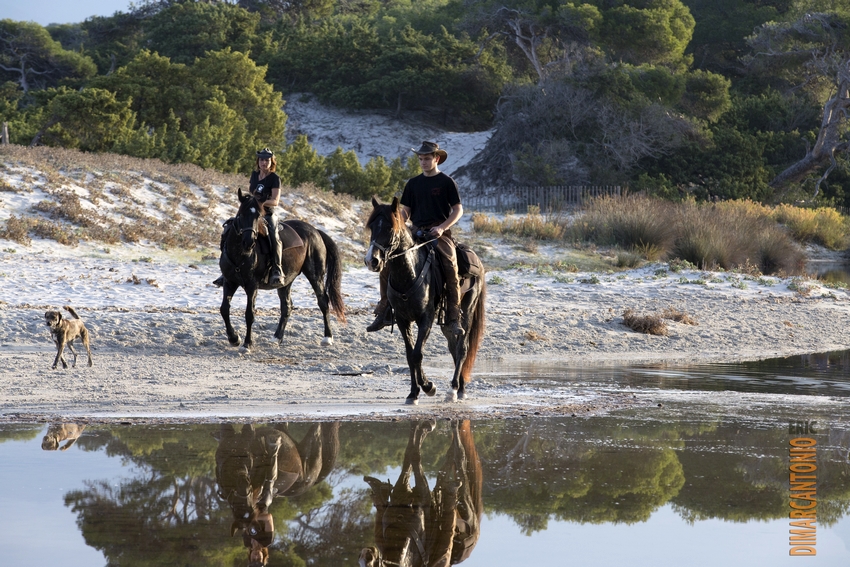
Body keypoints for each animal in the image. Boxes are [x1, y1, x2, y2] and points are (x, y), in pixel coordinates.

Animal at [219, 188, 346, 352]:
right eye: (241, 214)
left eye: (258, 215)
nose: (249, 242)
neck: (241, 254)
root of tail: (316, 231)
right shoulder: (229, 282)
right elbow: (224, 309)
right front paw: (234, 338)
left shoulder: (252, 286)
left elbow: (249, 314)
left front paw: (247, 344)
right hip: (286, 281)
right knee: (287, 307)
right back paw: (277, 337)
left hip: (315, 275)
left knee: (323, 301)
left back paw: (327, 337)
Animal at [360, 419, 483, 567]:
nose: (368, 551)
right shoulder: (410, 489)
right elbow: (412, 454)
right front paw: (422, 426)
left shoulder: (417, 490)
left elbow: (411, 454)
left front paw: (421, 425)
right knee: (453, 462)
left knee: (458, 458)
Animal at [364, 197, 486, 405]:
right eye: (372, 227)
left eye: (389, 228)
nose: (371, 260)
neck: (409, 273)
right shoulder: (403, 320)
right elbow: (409, 355)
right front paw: (413, 393)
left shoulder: (425, 319)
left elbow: (417, 353)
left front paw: (428, 386)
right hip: (446, 323)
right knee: (453, 348)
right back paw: (460, 387)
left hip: (467, 310)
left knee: (462, 348)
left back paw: (454, 390)